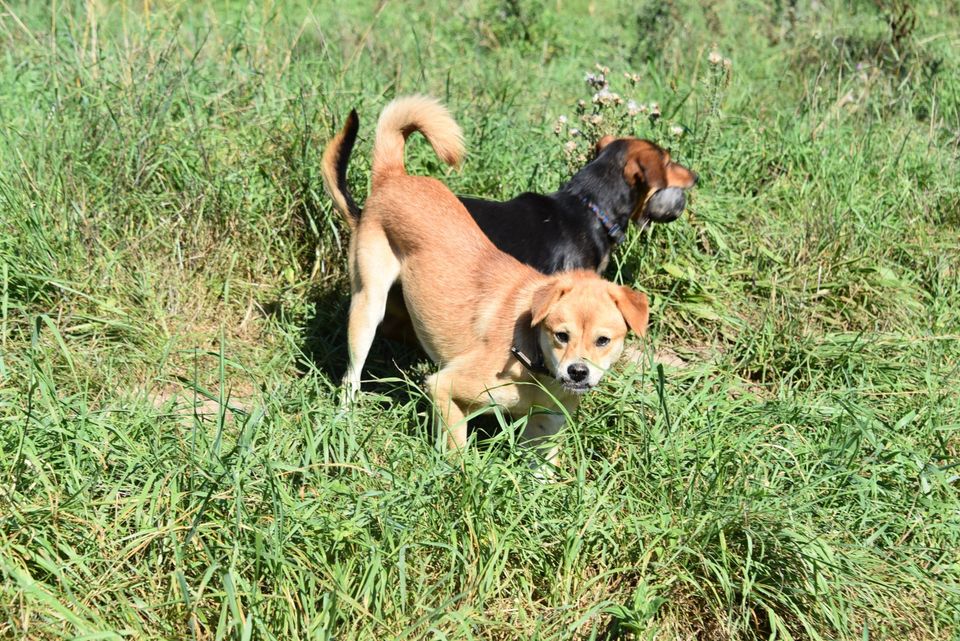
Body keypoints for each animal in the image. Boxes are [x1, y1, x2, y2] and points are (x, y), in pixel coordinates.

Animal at [334, 95, 648, 456]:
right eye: (561, 335)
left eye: (603, 341)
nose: (578, 372)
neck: (532, 355)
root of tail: (394, 176)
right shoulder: (445, 388)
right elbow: (456, 452)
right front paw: (455, 470)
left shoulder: (545, 428)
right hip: (367, 306)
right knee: (351, 375)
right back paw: (344, 418)